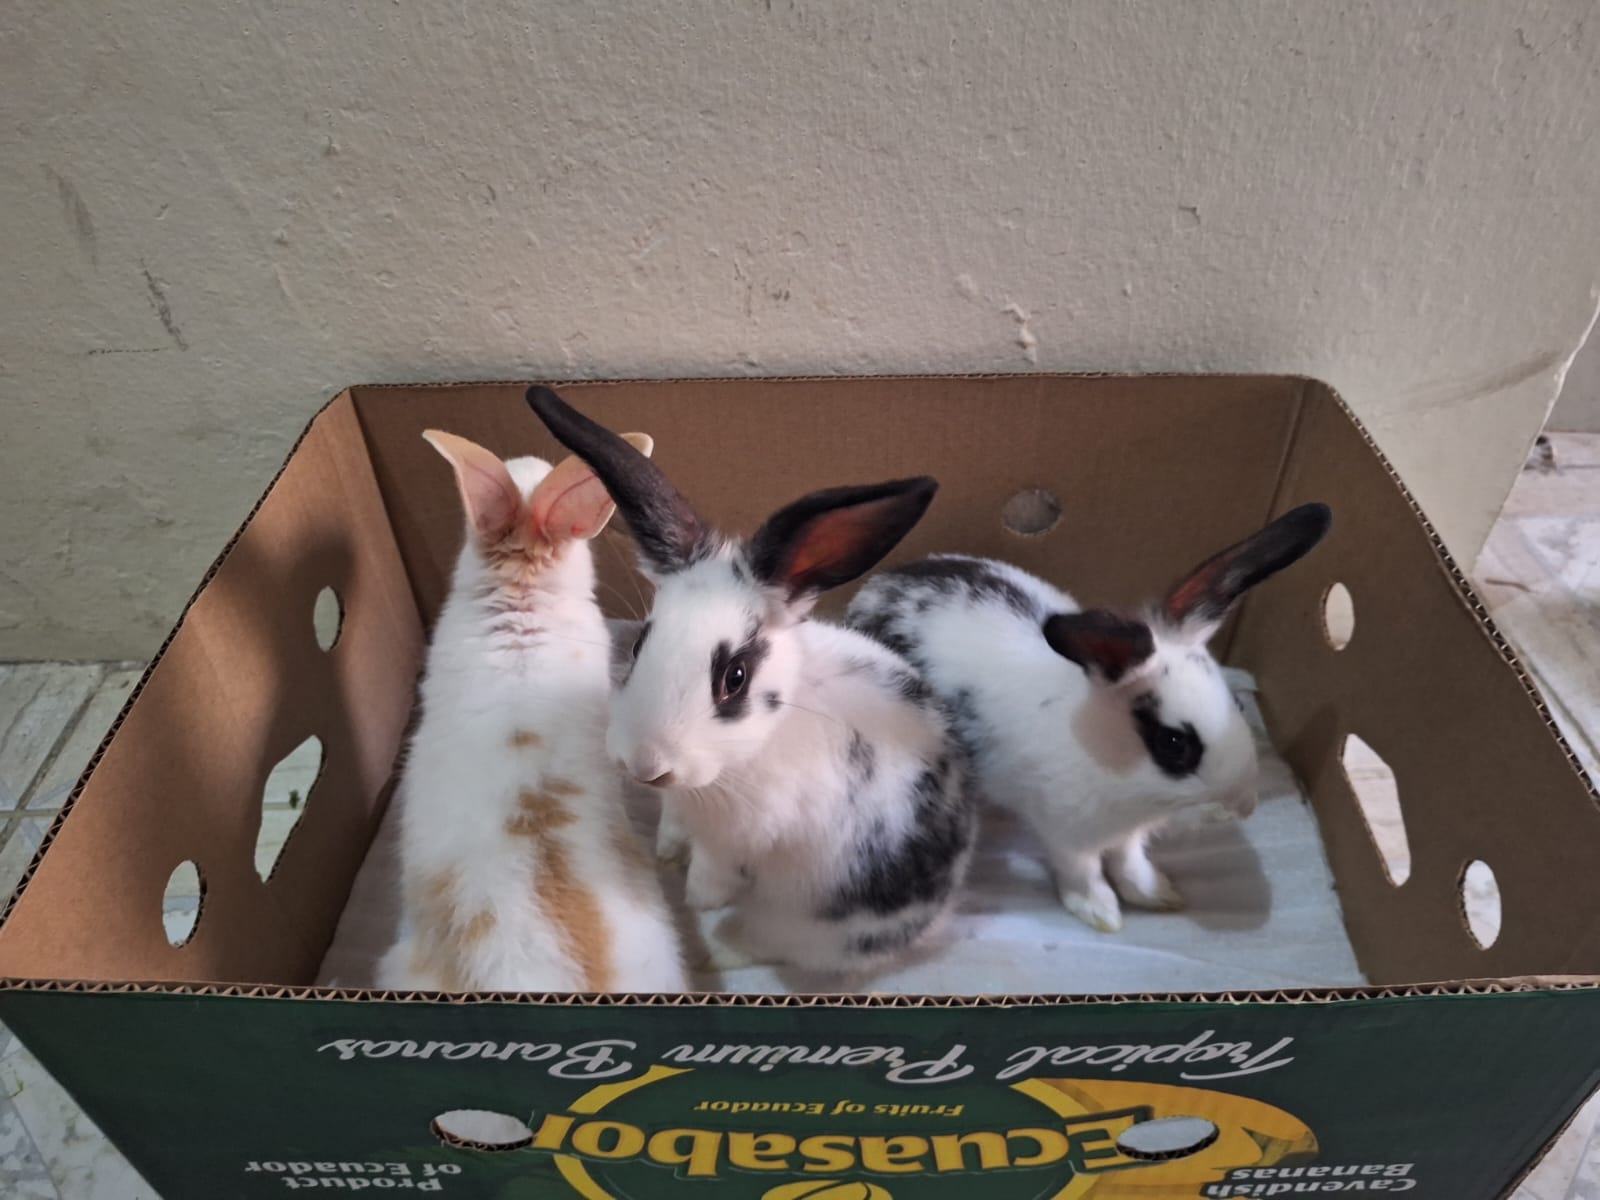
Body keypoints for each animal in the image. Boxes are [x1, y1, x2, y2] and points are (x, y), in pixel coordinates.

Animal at [526, 386, 977, 978]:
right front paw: (666, 853)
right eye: (641, 644)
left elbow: (715, 874)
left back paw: (719, 950)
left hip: (811, 924)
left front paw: (697, 899)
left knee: (773, 941)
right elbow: (675, 826)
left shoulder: (739, 842)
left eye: (734, 678)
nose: (646, 768)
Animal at [846, 503, 1332, 934]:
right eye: (1174, 744)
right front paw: (1100, 912)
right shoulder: (1066, 832)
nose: (1243, 806)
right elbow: (1083, 870)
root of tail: (877, 585)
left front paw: (1156, 894)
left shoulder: (1128, 833)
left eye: (1236, 704)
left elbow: (1129, 860)